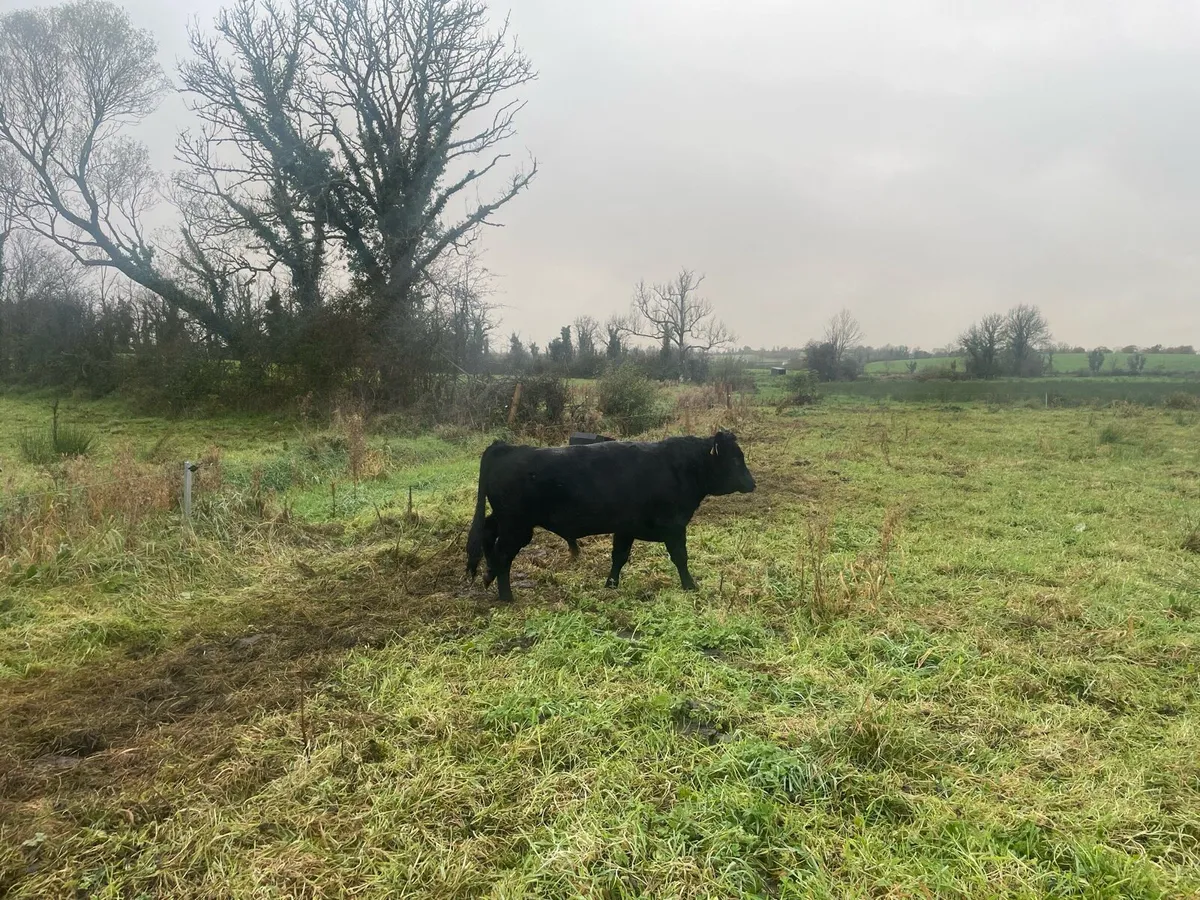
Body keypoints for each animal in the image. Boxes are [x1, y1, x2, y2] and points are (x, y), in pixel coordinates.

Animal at [466, 429, 756, 601]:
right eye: (734, 460)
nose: (752, 483)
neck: (680, 467)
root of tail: (509, 447)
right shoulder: (674, 526)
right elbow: (680, 558)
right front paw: (690, 586)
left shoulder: (625, 528)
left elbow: (619, 557)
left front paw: (611, 585)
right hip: (517, 526)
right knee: (503, 553)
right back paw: (505, 595)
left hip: (505, 519)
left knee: (488, 533)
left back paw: (488, 575)